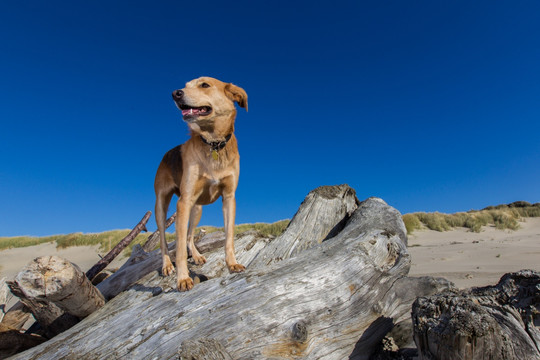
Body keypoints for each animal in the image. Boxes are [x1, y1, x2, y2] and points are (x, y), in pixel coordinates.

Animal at [154, 76, 249, 290]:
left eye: (204, 85)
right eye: (185, 86)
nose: (175, 93)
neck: (213, 143)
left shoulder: (229, 198)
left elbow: (228, 237)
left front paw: (232, 264)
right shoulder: (184, 202)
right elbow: (179, 248)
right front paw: (182, 278)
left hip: (197, 209)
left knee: (189, 235)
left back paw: (196, 256)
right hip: (162, 205)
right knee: (164, 239)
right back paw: (166, 266)